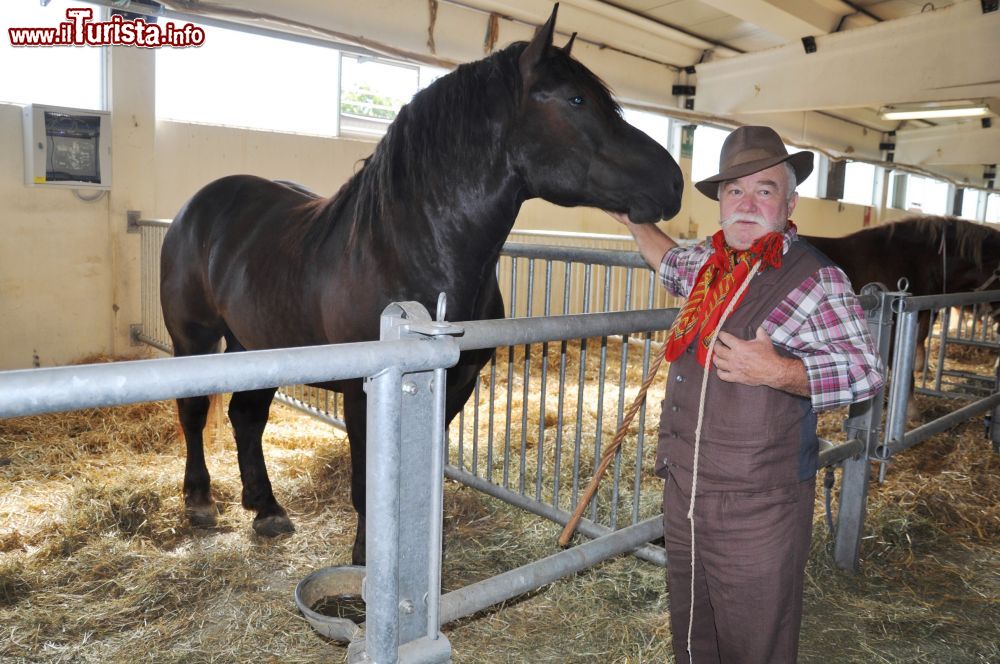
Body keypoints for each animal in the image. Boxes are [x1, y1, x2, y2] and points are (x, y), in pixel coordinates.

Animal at [158, 7, 688, 564]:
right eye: (576, 100)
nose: (673, 182)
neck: (410, 249)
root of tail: (194, 208)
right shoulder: (365, 391)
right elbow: (368, 485)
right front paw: (366, 565)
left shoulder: (455, 385)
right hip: (194, 338)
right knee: (194, 412)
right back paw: (200, 500)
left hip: (256, 343)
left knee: (246, 416)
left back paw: (266, 509)